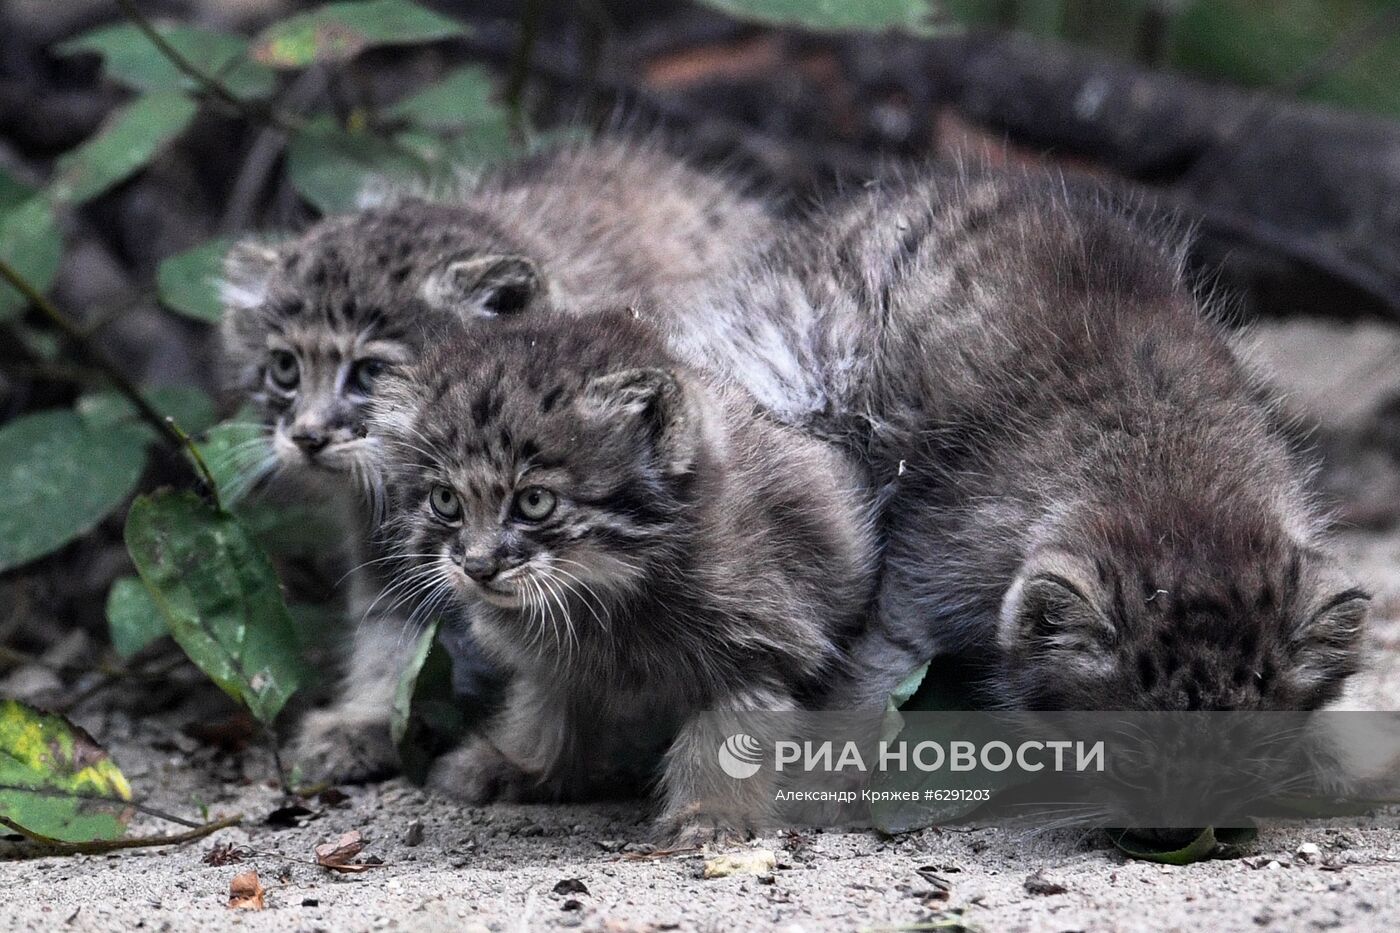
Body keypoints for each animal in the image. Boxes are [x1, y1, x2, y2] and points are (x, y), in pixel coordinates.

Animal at [366, 308, 879, 840]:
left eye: (535, 502)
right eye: (445, 500)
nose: (478, 567)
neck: (601, 592)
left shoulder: (760, 639)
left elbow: (728, 733)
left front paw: (711, 812)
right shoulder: (556, 663)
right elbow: (542, 711)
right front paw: (520, 764)